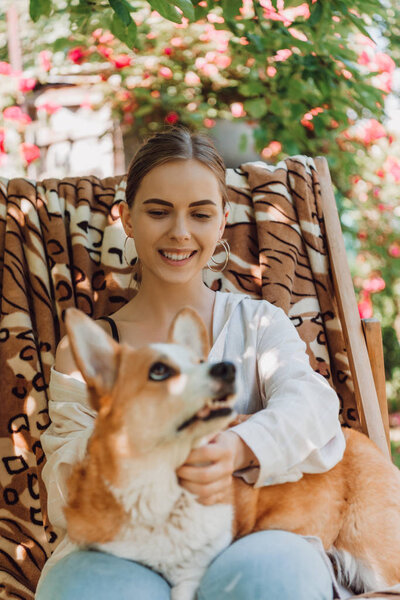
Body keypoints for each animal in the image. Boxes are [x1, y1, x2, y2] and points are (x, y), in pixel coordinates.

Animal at [63, 308, 400, 596]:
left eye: (200, 361)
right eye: (158, 370)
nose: (226, 367)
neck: (159, 487)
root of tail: (362, 439)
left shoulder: (191, 575)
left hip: (374, 558)